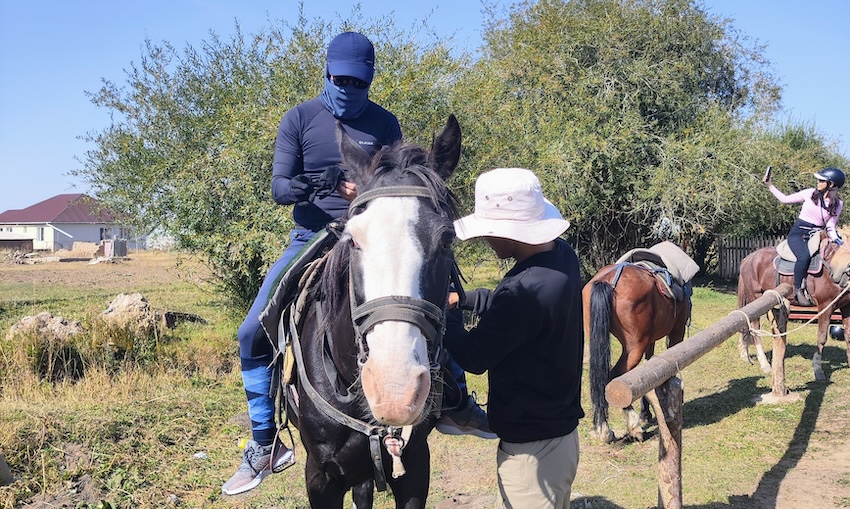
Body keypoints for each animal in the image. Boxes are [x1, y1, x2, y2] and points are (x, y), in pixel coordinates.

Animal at [732, 235, 848, 380]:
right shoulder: (825, 306)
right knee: (755, 330)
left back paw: (745, 354)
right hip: (755, 298)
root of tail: (748, 258)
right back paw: (765, 365)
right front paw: (818, 370)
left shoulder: (846, 307)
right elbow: (822, 338)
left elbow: (848, 336)